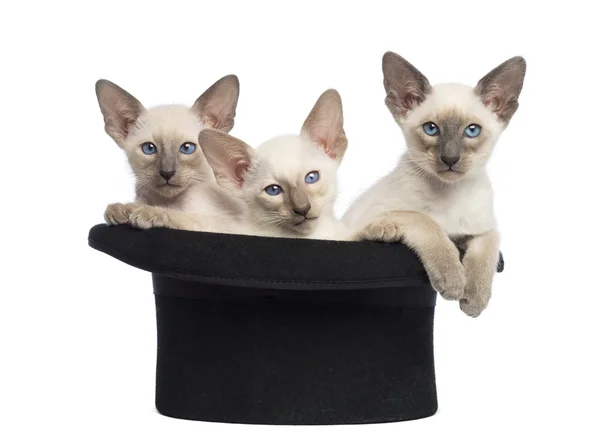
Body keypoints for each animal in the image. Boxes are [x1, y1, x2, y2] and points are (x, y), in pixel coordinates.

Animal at [96, 75, 241, 227]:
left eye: (187, 148)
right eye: (149, 148)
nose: (167, 173)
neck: (167, 201)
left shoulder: (228, 224)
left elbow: (183, 216)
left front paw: (146, 212)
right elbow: (140, 202)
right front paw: (123, 209)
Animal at [344, 52, 528, 318]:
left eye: (472, 131)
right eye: (431, 129)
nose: (450, 158)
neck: (449, 192)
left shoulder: (483, 227)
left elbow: (489, 246)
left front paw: (474, 298)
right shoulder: (361, 221)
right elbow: (425, 221)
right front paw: (453, 280)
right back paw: (384, 230)